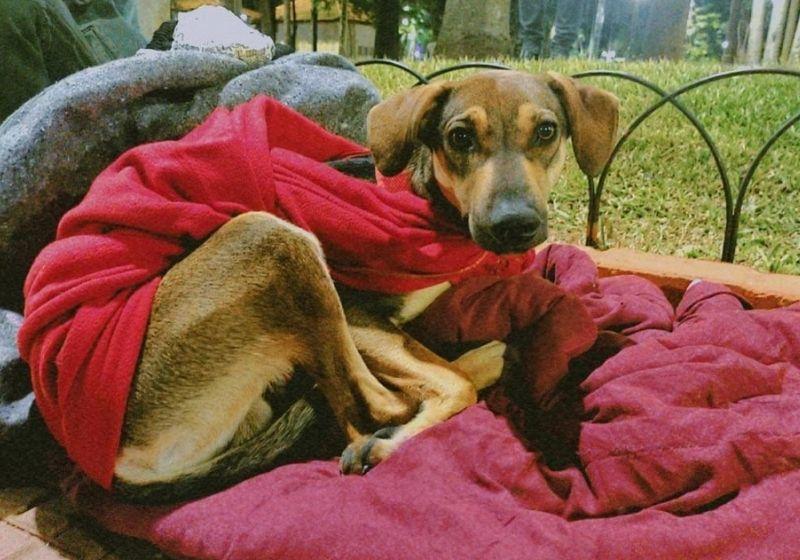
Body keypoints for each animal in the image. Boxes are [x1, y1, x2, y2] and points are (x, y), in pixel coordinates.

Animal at [111, 70, 620, 504]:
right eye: (460, 137)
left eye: (546, 132)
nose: (514, 225)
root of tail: (123, 460)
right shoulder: (357, 314)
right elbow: (439, 383)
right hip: (273, 237)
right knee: (379, 404)